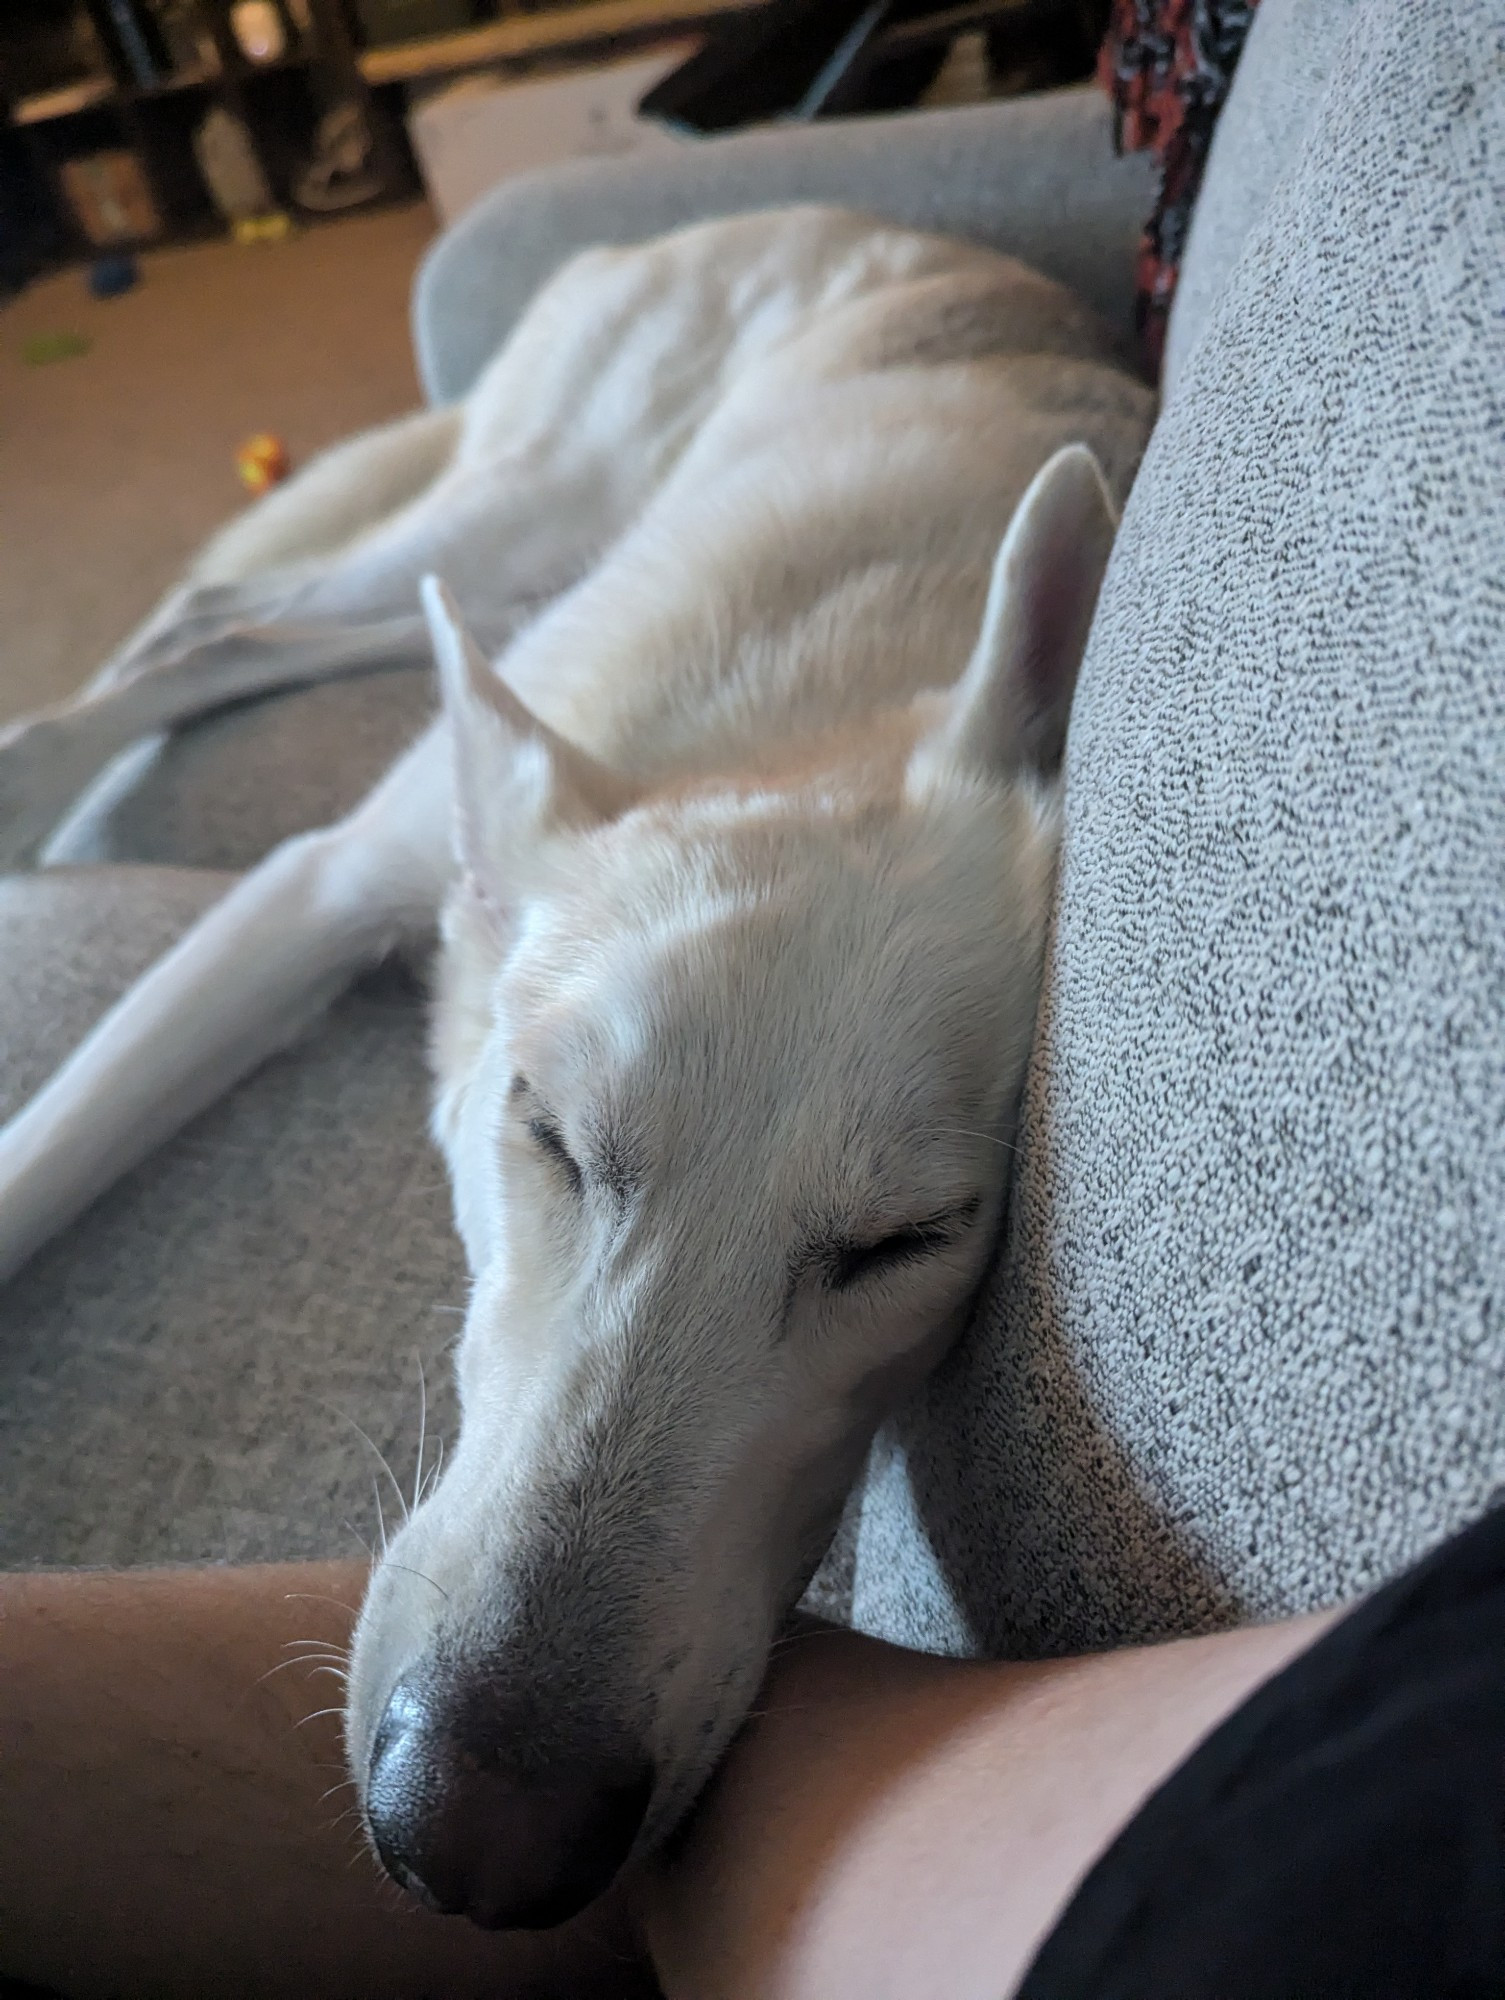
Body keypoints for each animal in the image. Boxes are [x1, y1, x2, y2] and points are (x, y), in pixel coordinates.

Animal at [0, 203, 1152, 1920]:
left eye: (910, 1243)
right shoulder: (309, 893)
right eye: (543, 1132)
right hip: (529, 505)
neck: (807, 730)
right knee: (241, 617)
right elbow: (38, 1164)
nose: (475, 1838)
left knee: (274, 631)